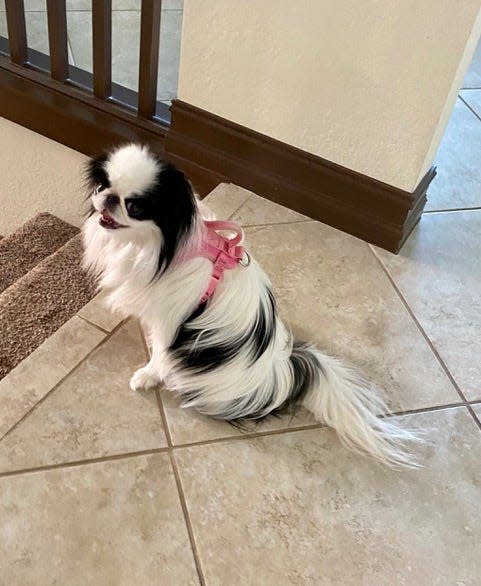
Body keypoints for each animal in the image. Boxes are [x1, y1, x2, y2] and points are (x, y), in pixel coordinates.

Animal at [81, 143, 416, 466]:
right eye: (102, 186)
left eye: (135, 207)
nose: (108, 199)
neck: (157, 247)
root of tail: (282, 372)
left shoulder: (169, 323)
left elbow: (160, 356)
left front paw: (147, 376)